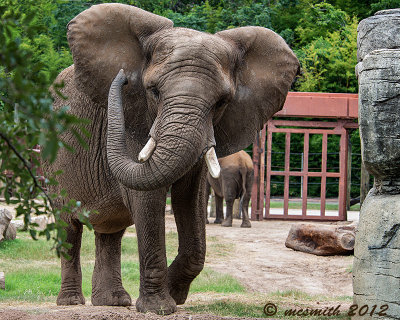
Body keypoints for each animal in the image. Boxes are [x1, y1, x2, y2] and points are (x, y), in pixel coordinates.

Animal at [43, 2, 300, 316]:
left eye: (221, 102)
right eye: (153, 91)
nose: (123, 76)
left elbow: (191, 200)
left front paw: (175, 293)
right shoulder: (136, 121)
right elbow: (148, 199)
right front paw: (159, 307)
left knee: (110, 233)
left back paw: (113, 301)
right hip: (52, 165)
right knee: (68, 227)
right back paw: (71, 302)